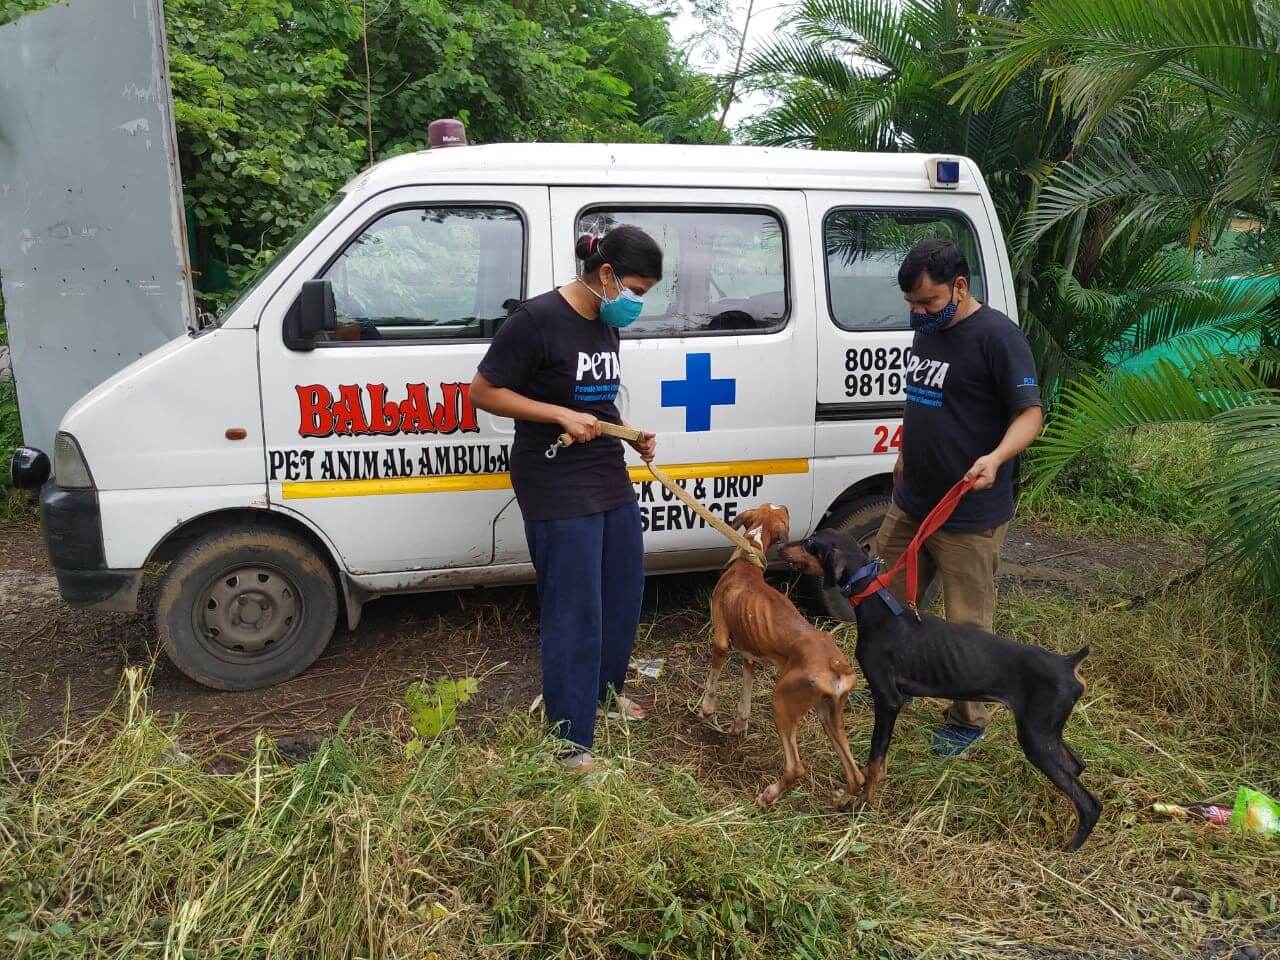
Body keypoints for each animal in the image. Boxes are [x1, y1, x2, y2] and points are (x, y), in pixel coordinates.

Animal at [696, 506, 865, 808]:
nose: (786, 508)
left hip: (782, 702)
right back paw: (842, 800)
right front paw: (739, 725)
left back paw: (769, 795)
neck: (748, 562)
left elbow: (712, 682)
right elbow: (745, 696)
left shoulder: (721, 641)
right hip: (830, 716)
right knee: (857, 776)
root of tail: (836, 664)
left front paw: (706, 708)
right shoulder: (749, 655)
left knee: (796, 767)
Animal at [773, 529, 1105, 855]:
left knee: (1089, 802)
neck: (878, 609)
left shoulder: (888, 700)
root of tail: (1068, 664)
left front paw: (861, 803)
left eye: (810, 542)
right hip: (1048, 733)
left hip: (1036, 738)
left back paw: (1070, 848)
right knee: (1078, 765)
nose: (780, 545)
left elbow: (875, 762)